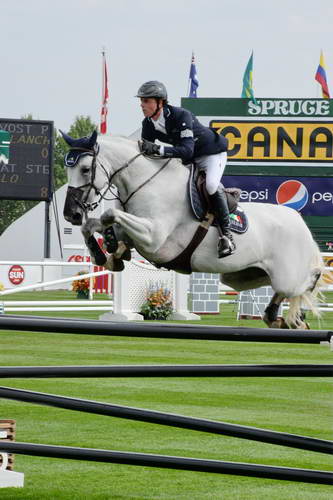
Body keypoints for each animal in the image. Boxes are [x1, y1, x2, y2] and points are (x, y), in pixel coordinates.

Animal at [61, 131, 322, 330]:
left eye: (85, 169)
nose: (70, 214)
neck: (147, 183)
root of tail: (299, 220)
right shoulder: (137, 231)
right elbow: (96, 225)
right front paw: (107, 252)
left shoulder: (153, 237)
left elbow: (109, 215)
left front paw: (110, 248)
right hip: (242, 276)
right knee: (279, 292)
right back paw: (276, 318)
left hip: (287, 277)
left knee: (308, 281)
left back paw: (298, 315)